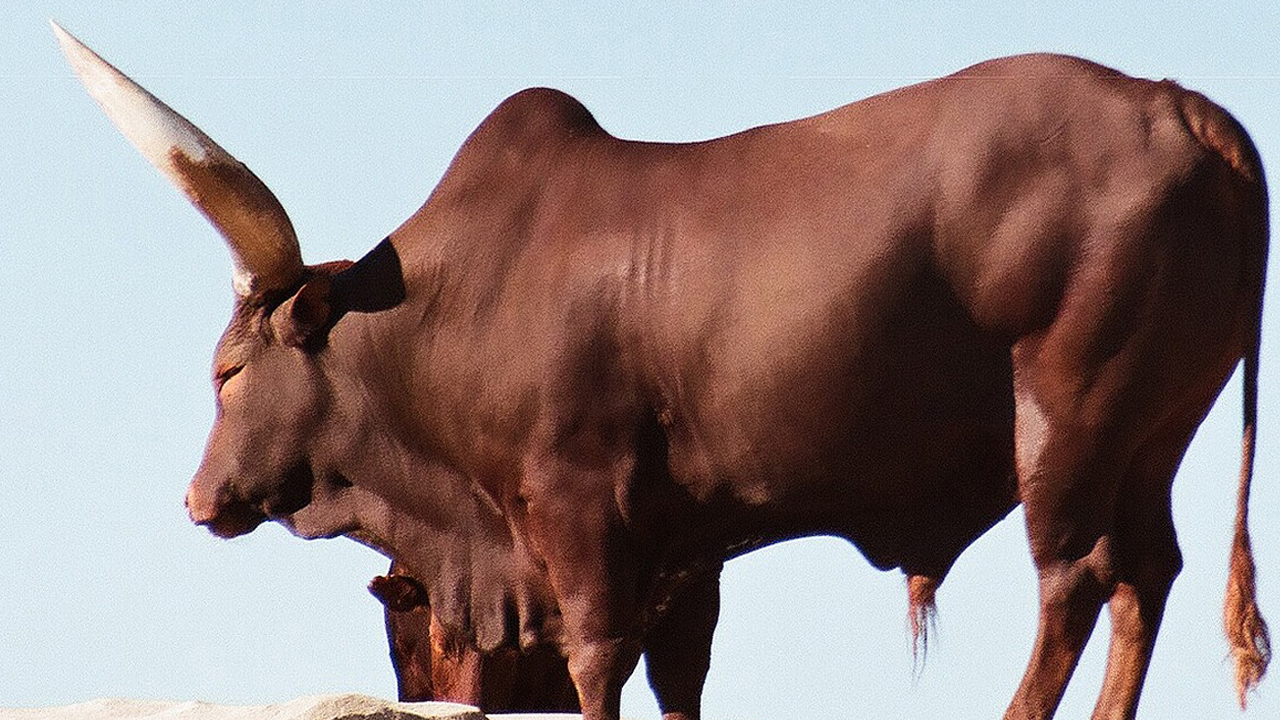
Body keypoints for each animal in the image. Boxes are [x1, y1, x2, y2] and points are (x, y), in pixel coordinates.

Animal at [55, 23, 1264, 717]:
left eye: (226, 371)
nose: (199, 497)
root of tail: (1179, 104)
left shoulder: (579, 511)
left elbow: (598, 661)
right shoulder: (690, 547)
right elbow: (680, 674)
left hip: (1065, 417)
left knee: (1073, 580)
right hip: (1147, 434)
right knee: (1144, 576)